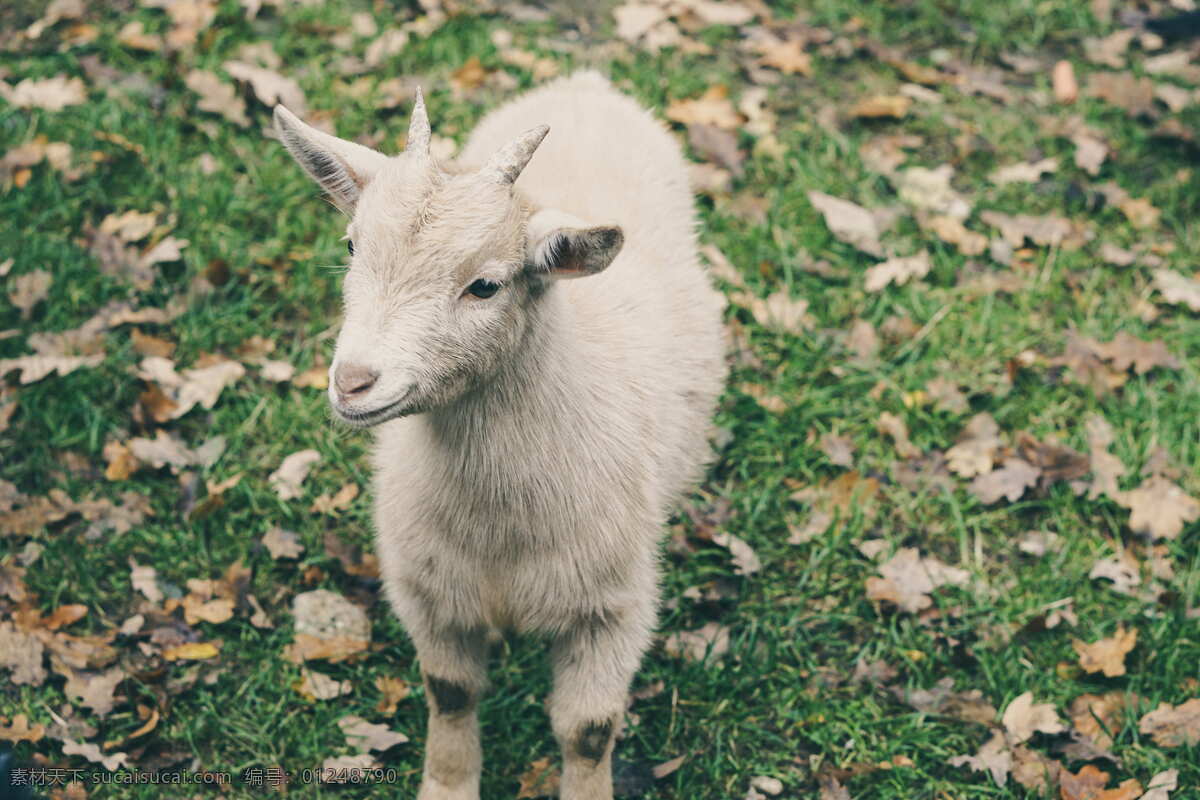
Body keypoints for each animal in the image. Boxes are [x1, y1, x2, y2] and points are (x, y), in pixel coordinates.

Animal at [276, 71, 724, 796]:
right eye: (351, 246)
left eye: (485, 285)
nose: (353, 381)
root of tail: (585, 82)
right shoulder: (430, 590)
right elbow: (451, 692)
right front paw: (448, 783)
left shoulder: (614, 606)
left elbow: (588, 730)